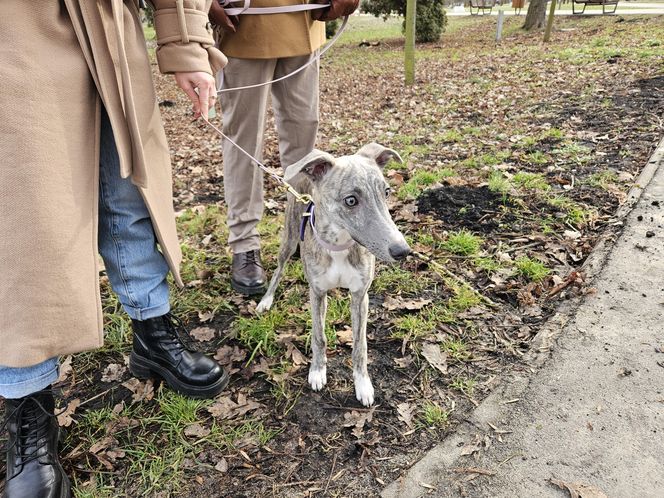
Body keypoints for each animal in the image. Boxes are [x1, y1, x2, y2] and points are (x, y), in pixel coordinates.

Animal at [256, 142, 412, 406]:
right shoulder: (317, 293)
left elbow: (360, 345)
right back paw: (266, 300)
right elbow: (319, 337)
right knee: (279, 269)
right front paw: (317, 371)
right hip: (288, 237)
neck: (340, 245)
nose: (402, 251)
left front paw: (362, 384)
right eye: (350, 200)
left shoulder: (360, 296)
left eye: (387, 192)